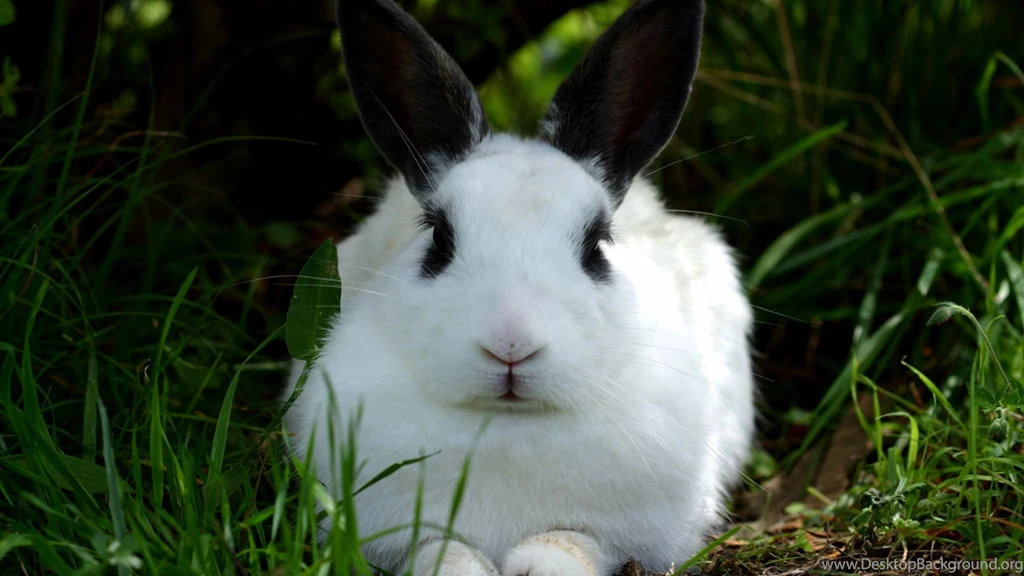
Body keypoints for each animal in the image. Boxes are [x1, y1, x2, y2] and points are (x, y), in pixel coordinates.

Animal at [280, 0, 757, 575]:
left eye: (597, 245)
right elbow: (438, 549)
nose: (511, 345)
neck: (507, 424)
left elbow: (568, 542)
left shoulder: (623, 535)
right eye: (439, 238)